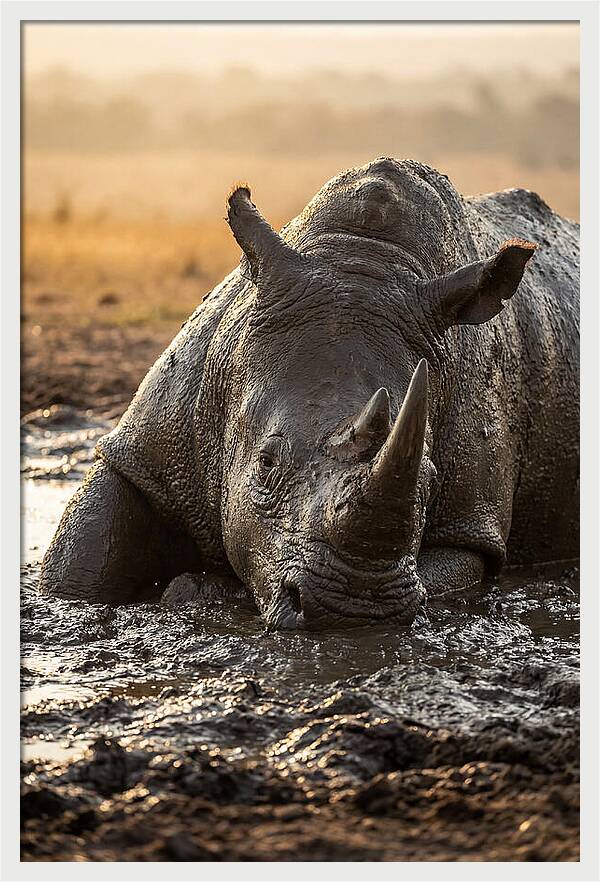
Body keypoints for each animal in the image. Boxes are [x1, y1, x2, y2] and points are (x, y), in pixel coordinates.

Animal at [40, 158, 579, 630]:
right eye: (266, 462)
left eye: (429, 478)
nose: (353, 609)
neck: (362, 259)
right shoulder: (147, 447)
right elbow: (80, 561)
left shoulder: (471, 525)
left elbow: (451, 567)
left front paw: (197, 590)